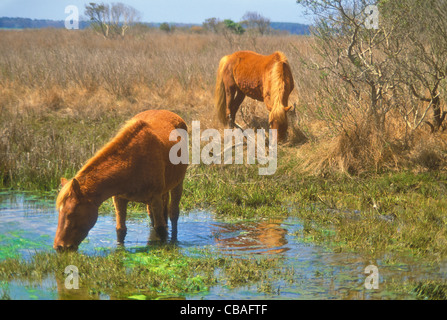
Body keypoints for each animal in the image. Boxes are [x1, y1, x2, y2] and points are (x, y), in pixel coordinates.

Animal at [53, 110, 188, 252]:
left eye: (71, 213)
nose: (59, 247)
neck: (132, 163)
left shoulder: (155, 198)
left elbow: (160, 228)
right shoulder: (119, 199)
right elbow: (121, 230)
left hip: (178, 184)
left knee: (173, 214)